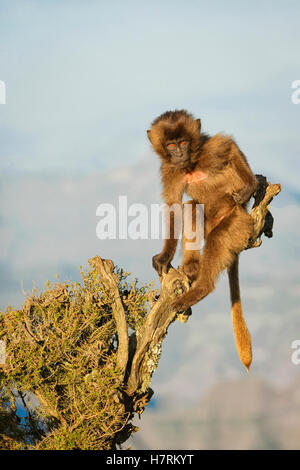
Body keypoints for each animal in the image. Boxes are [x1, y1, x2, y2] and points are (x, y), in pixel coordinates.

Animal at [147, 110, 258, 370]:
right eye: (171, 145)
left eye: (183, 142)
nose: (179, 154)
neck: (191, 165)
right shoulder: (170, 170)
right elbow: (175, 207)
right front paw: (164, 257)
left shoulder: (209, 150)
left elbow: (228, 147)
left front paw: (251, 186)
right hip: (211, 222)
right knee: (191, 208)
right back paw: (192, 266)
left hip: (239, 222)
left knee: (218, 238)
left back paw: (202, 288)